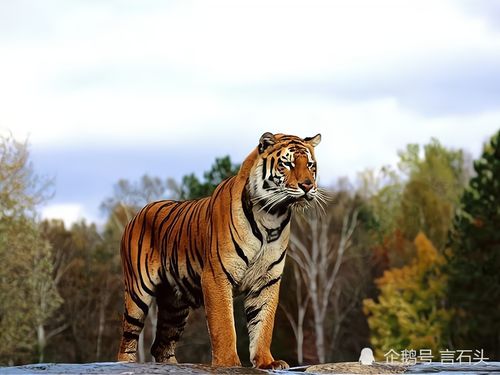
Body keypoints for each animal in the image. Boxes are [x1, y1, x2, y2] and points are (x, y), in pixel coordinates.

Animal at [116, 132, 320, 370]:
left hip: (174, 305)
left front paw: (267, 362)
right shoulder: (217, 275)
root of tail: (136, 214)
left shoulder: (267, 280)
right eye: (287, 164)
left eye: (310, 165)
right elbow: (224, 325)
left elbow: (263, 323)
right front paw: (228, 363)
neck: (271, 216)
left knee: (161, 345)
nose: (308, 186)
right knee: (127, 341)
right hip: (137, 292)